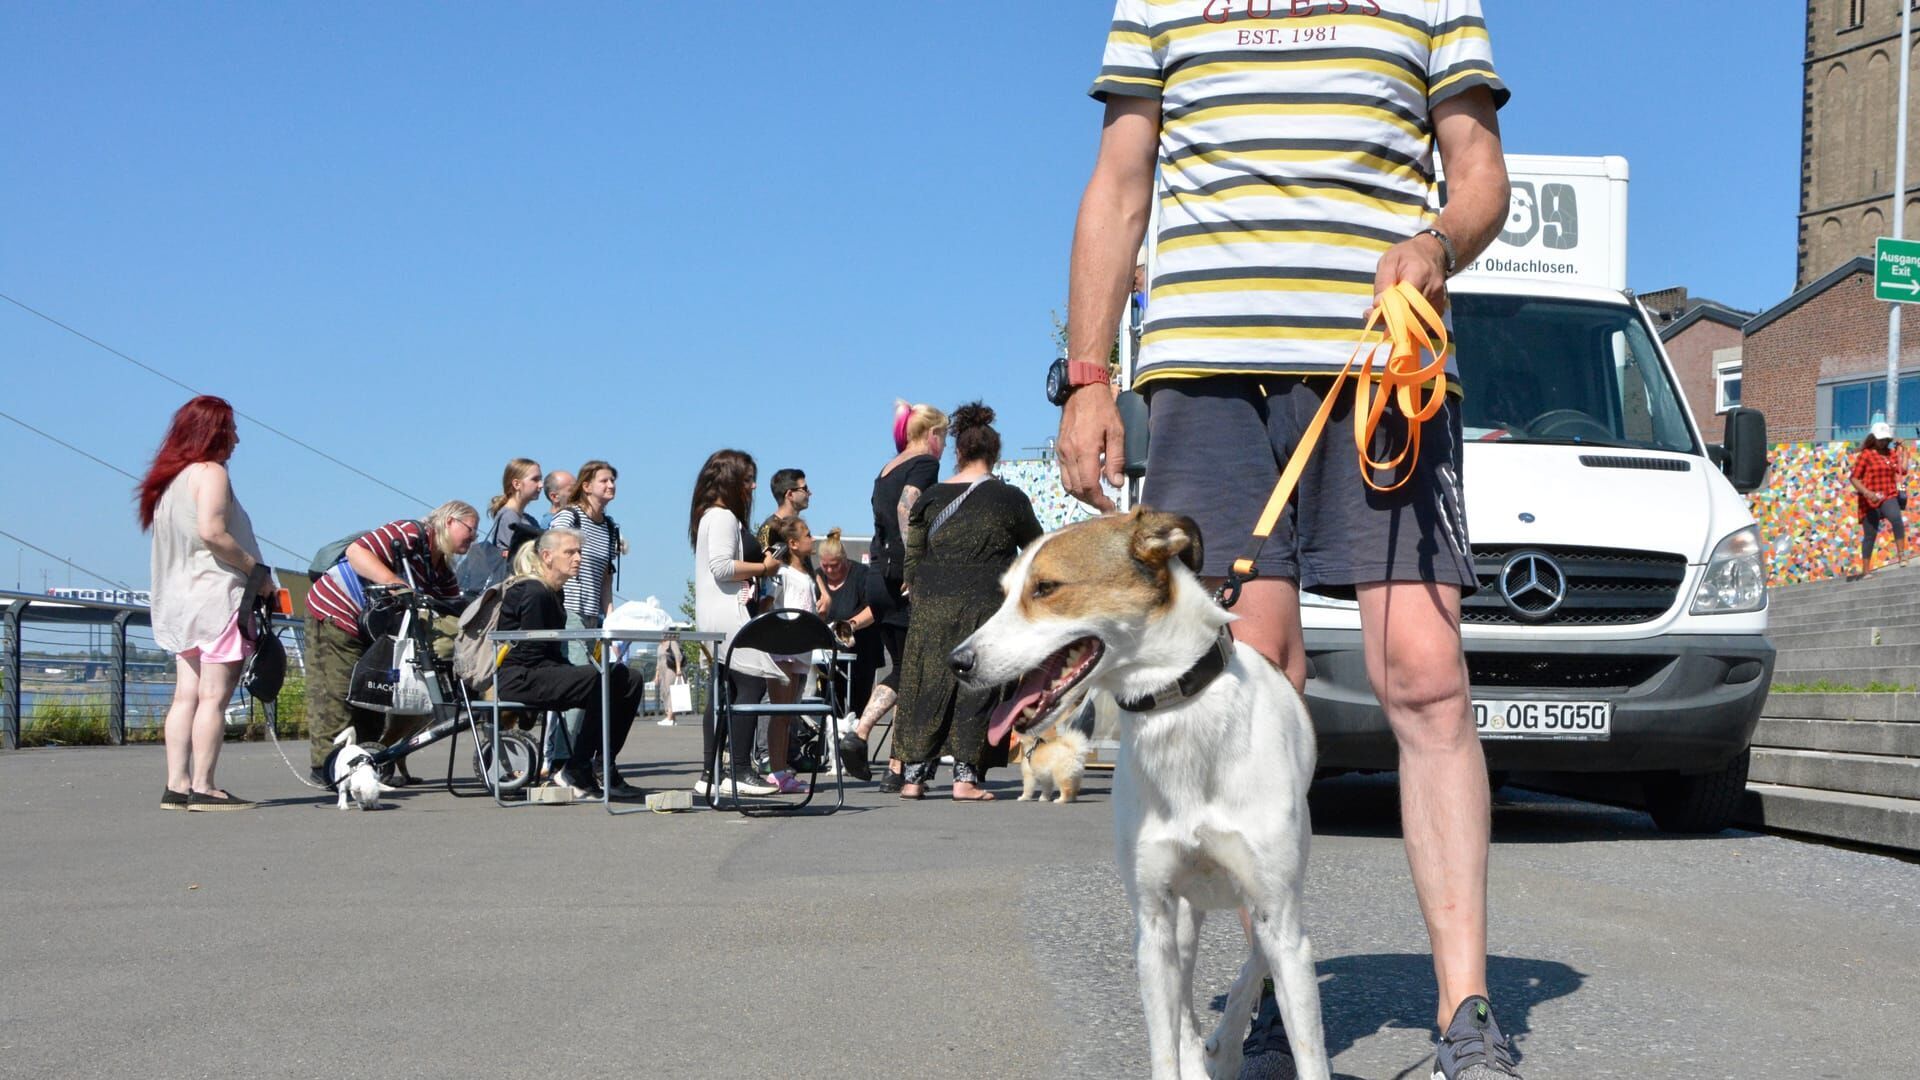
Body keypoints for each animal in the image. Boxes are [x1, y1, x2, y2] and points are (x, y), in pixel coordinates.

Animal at [952, 507, 1328, 1076]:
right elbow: (1165, 1046)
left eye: (1046, 588)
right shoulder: (1152, 924)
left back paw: (1228, 1041)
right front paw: (1194, 1053)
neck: (1178, 710)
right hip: (1182, 925)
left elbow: (1302, 1039)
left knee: (1252, 965)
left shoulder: (1280, 918)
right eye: (1004, 593)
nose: (958, 662)